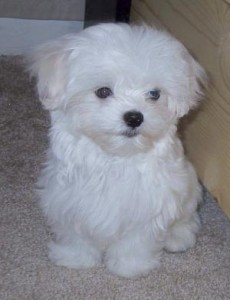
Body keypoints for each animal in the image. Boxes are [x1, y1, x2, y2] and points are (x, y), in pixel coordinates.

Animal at [30, 23, 205, 278]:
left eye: (154, 94)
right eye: (103, 91)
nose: (134, 117)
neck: (115, 158)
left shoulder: (148, 207)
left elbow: (135, 241)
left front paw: (129, 267)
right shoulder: (69, 199)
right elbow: (75, 233)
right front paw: (75, 258)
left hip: (189, 190)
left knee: (187, 218)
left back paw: (177, 237)